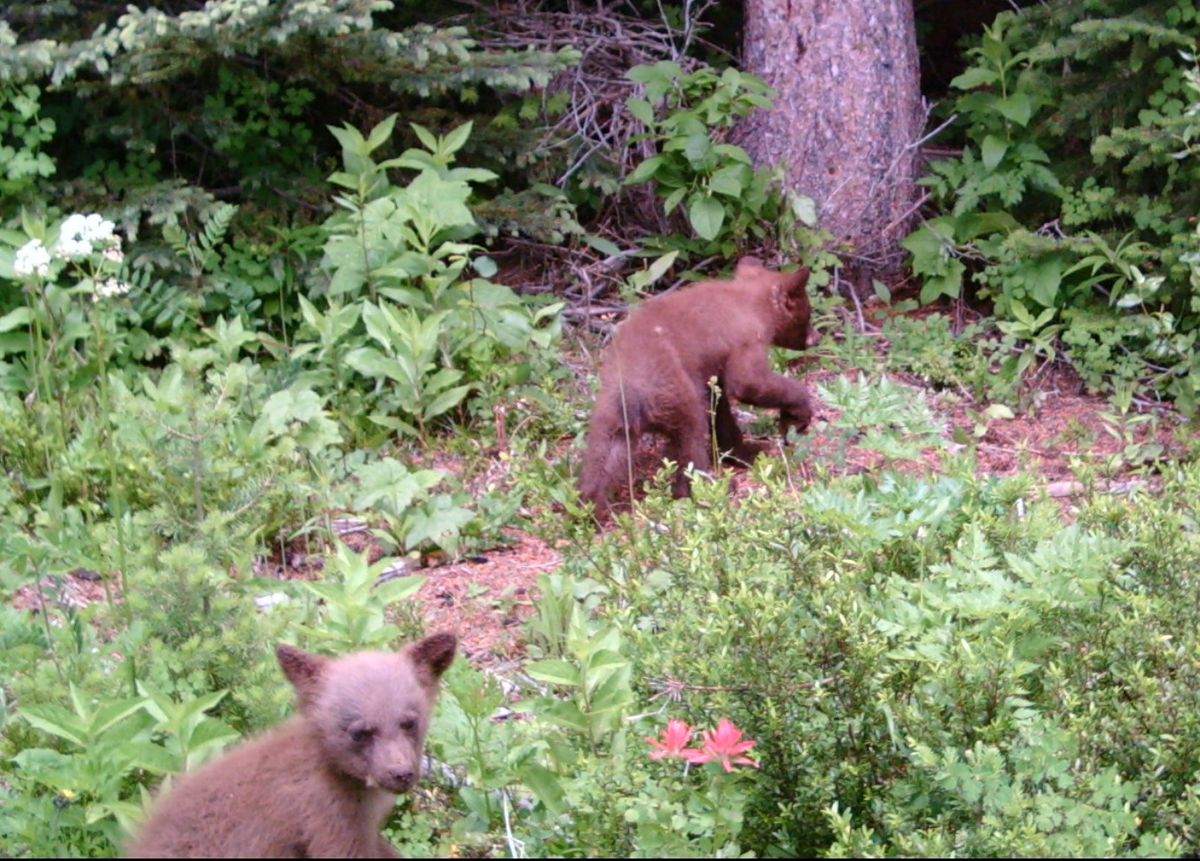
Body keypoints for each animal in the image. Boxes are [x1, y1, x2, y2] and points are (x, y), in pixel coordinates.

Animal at [579, 257, 814, 517]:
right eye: (809, 314)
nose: (816, 338)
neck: (749, 300)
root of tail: (633, 390)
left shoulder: (712, 370)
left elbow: (720, 409)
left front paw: (743, 451)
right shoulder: (747, 339)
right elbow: (748, 382)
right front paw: (800, 410)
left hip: (609, 416)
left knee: (603, 458)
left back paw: (592, 508)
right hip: (678, 395)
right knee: (691, 439)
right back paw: (707, 489)